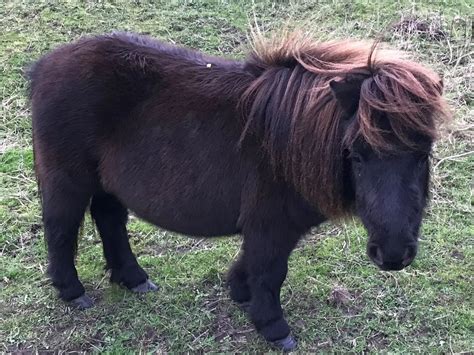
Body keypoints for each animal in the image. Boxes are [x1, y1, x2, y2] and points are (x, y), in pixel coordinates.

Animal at [28, 32, 448, 352]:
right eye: (356, 155)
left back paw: (133, 278)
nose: (393, 255)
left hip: (107, 184)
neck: (288, 142)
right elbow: (270, 271)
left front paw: (239, 292)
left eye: (423, 154)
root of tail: (45, 65)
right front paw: (273, 328)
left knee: (109, 220)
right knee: (61, 227)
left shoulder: (268, 226)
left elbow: (253, 264)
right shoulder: (271, 226)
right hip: (68, 179)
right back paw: (72, 291)